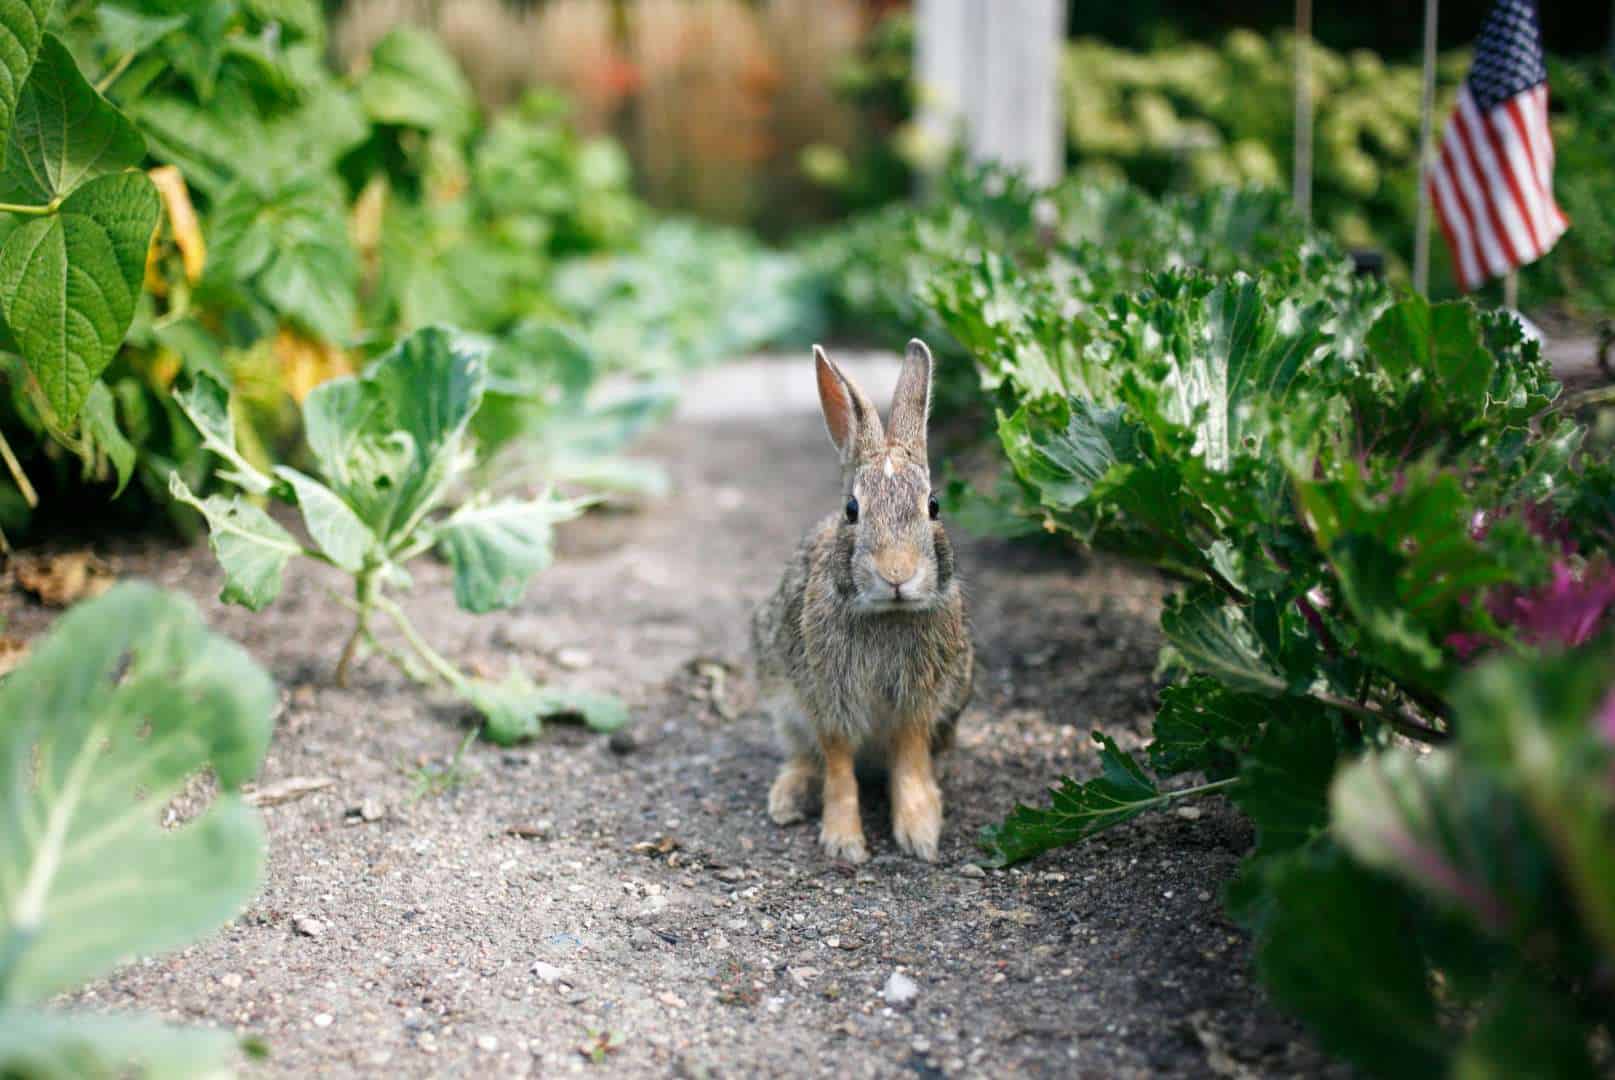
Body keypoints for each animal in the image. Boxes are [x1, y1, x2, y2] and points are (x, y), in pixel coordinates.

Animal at [746, 337, 969, 858]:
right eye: (852, 509)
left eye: (934, 506)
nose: (897, 574)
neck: (886, 613)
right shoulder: (826, 697)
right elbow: (838, 764)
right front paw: (843, 841)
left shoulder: (919, 703)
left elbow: (908, 760)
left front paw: (920, 833)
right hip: (781, 700)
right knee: (804, 756)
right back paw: (788, 799)